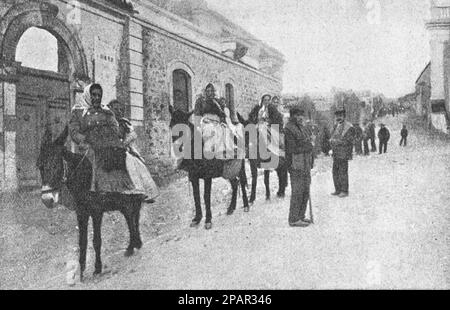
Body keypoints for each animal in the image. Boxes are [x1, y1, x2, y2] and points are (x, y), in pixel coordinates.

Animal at [38, 126, 146, 280]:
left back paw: (137, 243)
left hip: (134, 199)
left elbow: (96, 240)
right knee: (129, 218)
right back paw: (132, 246)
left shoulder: (96, 212)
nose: (47, 199)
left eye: (55, 165)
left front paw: (97, 268)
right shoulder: (81, 213)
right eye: (39, 166)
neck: (85, 178)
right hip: (122, 203)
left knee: (135, 217)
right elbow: (82, 242)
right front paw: (81, 273)